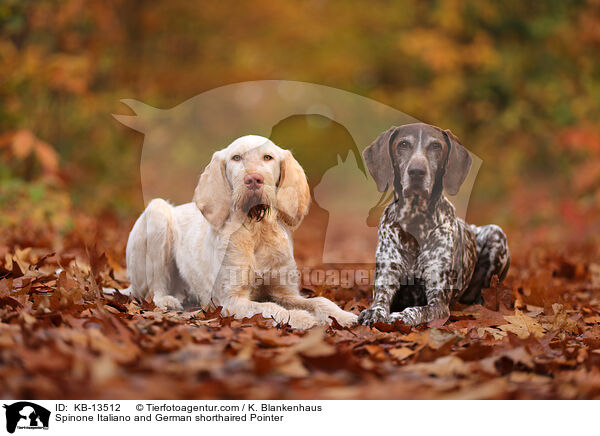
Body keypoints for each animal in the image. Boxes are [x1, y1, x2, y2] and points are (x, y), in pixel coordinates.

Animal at [125, 135, 356, 328]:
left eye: (268, 157)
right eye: (236, 158)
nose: (253, 179)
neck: (257, 230)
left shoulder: (285, 292)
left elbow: (321, 300)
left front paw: (344, 316)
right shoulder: (232, 300)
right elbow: (270, 308)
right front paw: (301, 318)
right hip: (157, 212)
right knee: (154, 288)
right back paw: (166, 299)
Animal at [358, 122, 508, 328]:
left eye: (436, 146)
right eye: (403, 144)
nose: (416, 172)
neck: (415, 222)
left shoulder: (439, 301)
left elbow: (417, 310)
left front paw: (401, 316)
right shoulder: (386, 277)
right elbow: (379, 302)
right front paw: (374, 312)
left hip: (496, 233)